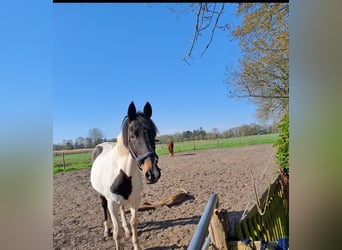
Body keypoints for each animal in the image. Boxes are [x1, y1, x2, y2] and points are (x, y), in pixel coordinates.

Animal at [90, 101, 161, 250]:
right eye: (132, 135)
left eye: (154, 134)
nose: (152, 173)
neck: (123, 174)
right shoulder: (112, 203)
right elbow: (117, 233)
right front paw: (114, 233)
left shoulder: (135, 200)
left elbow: (134, 223)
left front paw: (134, 241)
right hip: (102, 196)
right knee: (104, 208)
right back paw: (107, 230)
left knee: (122, 210)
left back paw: (126, 229)